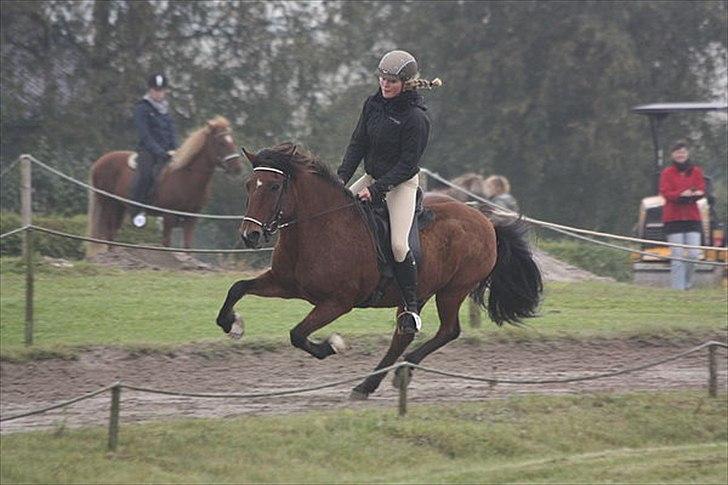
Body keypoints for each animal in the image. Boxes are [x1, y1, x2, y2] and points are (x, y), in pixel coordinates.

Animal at [85, 116, 245, 255]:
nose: (237, 168)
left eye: (232, 141)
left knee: (113, 232)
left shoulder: (192, 217)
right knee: (109, 232)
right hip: (109, 204)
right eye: (221, 143)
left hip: (119, 207)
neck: (186, 176)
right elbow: (166, 243)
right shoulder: (168, 215)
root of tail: (99, 162)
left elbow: (187, 245)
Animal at [216, 141, 540, 398]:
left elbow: (297, 334)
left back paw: (394, 375)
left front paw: (332, 345)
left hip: (452, 291)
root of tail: (486, 222)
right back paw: (371, 384)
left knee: (448, 331)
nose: (250, 235)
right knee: (404, 335)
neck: (317, 228)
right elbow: (237, 288)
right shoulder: (285, 284)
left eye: (274, 187)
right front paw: (233, 324)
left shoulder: (338, 302)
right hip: (417, 294)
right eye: (249, 185)